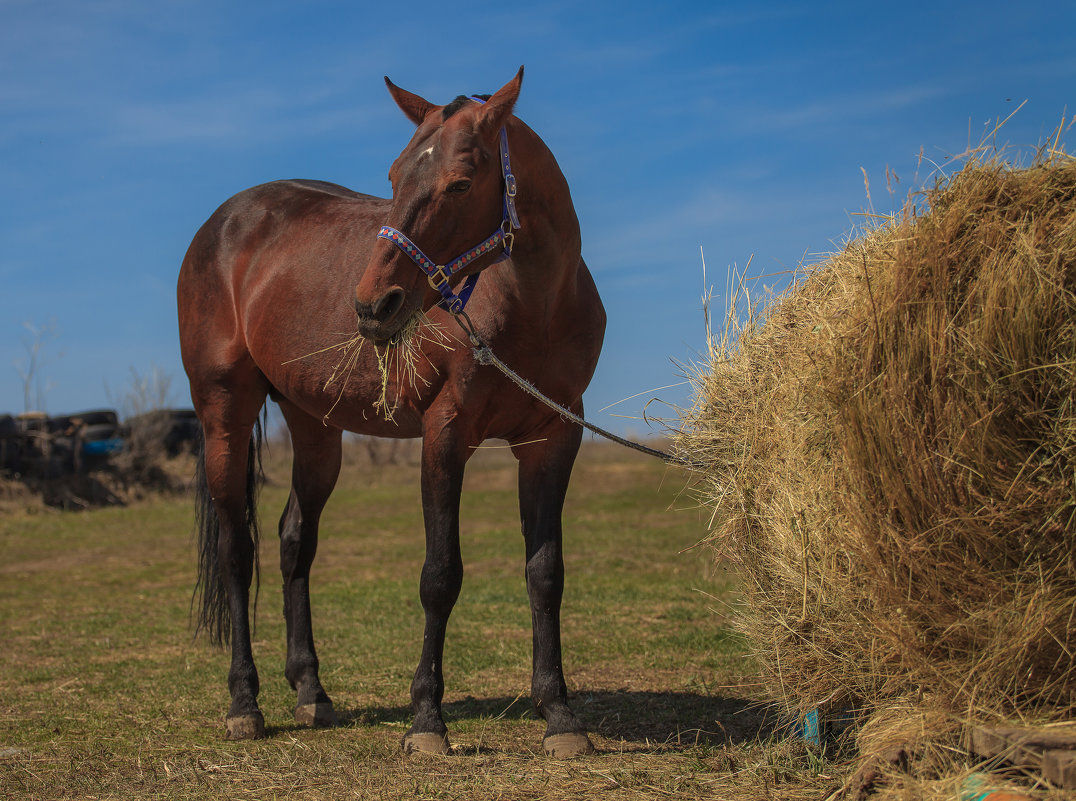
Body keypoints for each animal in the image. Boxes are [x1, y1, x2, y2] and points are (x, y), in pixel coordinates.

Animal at [180, 67, 611, 757]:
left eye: (460, 182)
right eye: (393, 176)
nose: (372, 305)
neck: (535, 306)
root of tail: (224, 223)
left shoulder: (552, 440)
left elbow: (545, 574)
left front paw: (561, 716)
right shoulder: (446, 436)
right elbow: (440, 576)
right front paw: (427, 721)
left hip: (316, 427)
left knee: (294, 541)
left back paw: (311, 692)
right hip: (224, 413)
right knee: (237, 552)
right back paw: (244, 704)